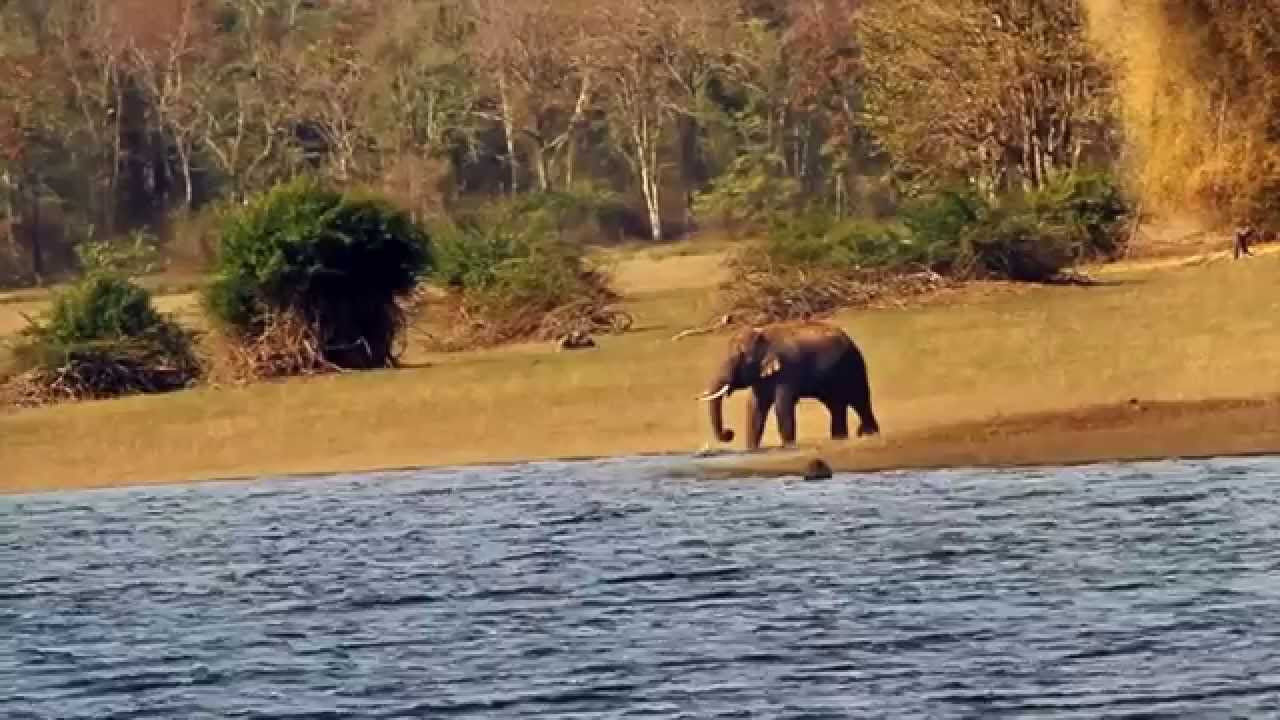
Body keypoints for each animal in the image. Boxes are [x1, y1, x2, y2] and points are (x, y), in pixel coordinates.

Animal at [701, 319, 880, 448]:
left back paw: (871, 435)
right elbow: (755, 409)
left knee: (860, 402)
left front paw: (788, 448)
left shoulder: (788, 370)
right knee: (836, 407)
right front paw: (751, 450)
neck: (764, 333)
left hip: (854, 367)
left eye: (742, 359)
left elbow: (782, 408)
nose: (729, 433)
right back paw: (840, 439)